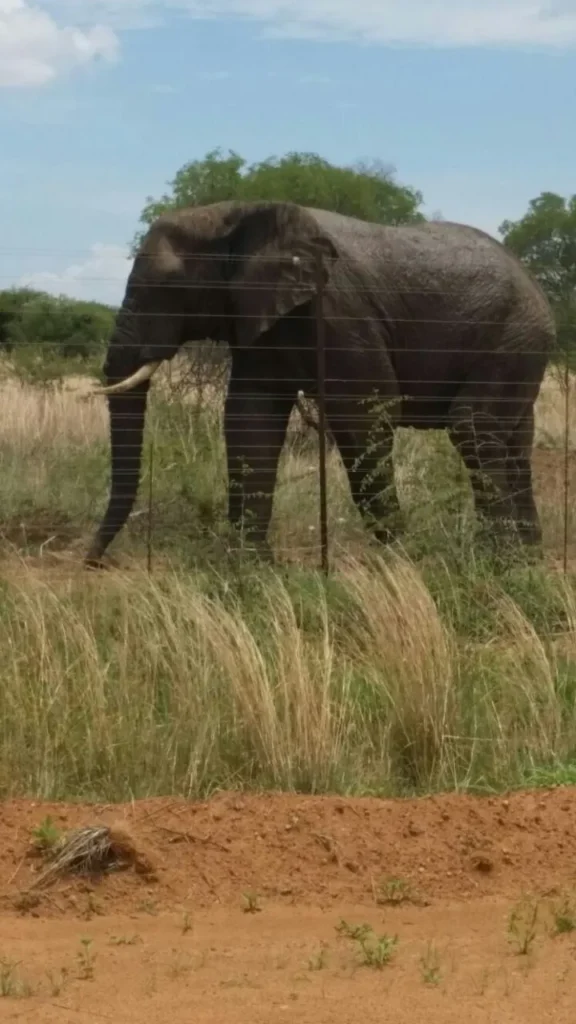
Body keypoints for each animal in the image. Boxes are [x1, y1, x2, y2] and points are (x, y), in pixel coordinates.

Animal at [85, 200, 556, 568]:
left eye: (164, 287)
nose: (92, 562)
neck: (234, 213)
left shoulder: (338, 313)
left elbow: (367, 412)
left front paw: (402, 561)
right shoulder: (259, 317)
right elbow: (250, 419)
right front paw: (252, 569)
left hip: (514, 336)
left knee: (472, 427)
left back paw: (498, 560)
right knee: (512, 441)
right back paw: (527, 556)